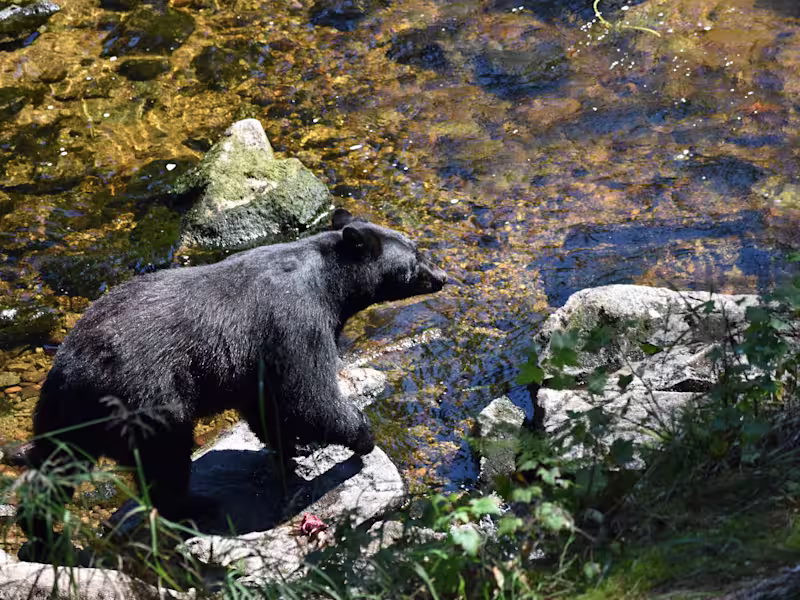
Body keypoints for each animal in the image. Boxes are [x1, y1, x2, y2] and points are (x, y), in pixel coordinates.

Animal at [9, 208, 446, 555]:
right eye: (415, 259)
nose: (441, 276)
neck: (328, 283)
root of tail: (73, 371)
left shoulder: (258, 359)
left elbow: (267, 403)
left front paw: (296, 447)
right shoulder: (295, 323)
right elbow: (308, 396)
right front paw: (360, 436)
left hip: (61, 413)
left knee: (53, 468)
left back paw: (39, 530)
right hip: (146, 397)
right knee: (165, 458)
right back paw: (194, 505)